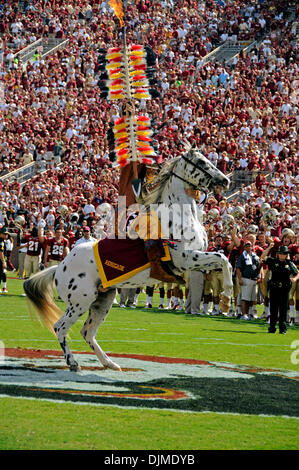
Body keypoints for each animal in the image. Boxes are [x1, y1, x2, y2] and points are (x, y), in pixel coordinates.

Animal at [24, 145, 233, 372]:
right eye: (202, 162)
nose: (225, 180)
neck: (178, 217)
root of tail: (59, 267)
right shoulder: (186, 259)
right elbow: (223, 258)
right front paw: (226, 297)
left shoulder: (195, 263)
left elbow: (223, 260)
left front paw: (224, 301)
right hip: (81, 301)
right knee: (60, 327)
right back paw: (73, 363)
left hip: (103, 300)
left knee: (87, 332)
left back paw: (110, 363)